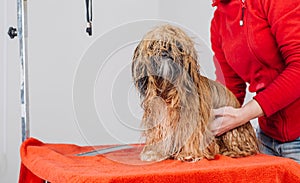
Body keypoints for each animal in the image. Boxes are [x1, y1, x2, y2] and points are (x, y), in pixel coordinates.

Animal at [132, 24, 258, 162]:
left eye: (176, 45)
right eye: (153, 45)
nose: (165, 52)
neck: (169, 90)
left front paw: (189, 153)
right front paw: (154, 153)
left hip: (233, 130)